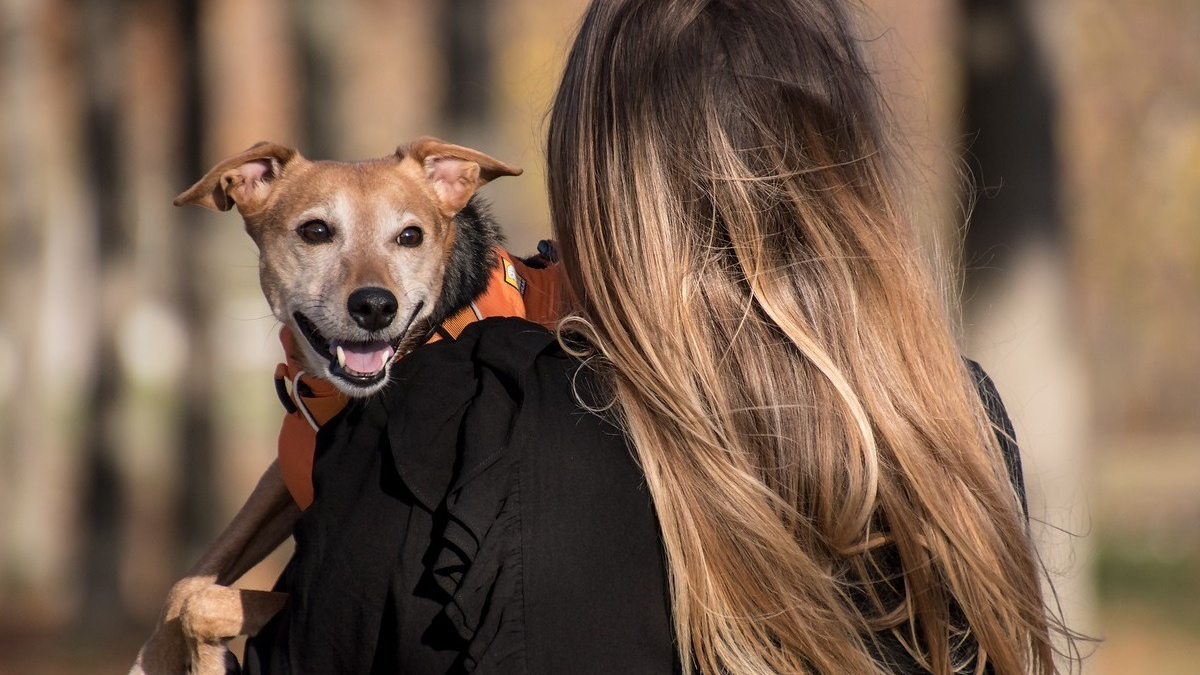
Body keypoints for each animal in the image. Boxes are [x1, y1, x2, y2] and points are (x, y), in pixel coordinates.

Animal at [127, 136, 520, 672]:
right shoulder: (284, 476)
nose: (375, 306)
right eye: (315, 231)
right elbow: (191, 580)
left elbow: (205, 604)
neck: (334, 397)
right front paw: (156, 655)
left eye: (411, 235)